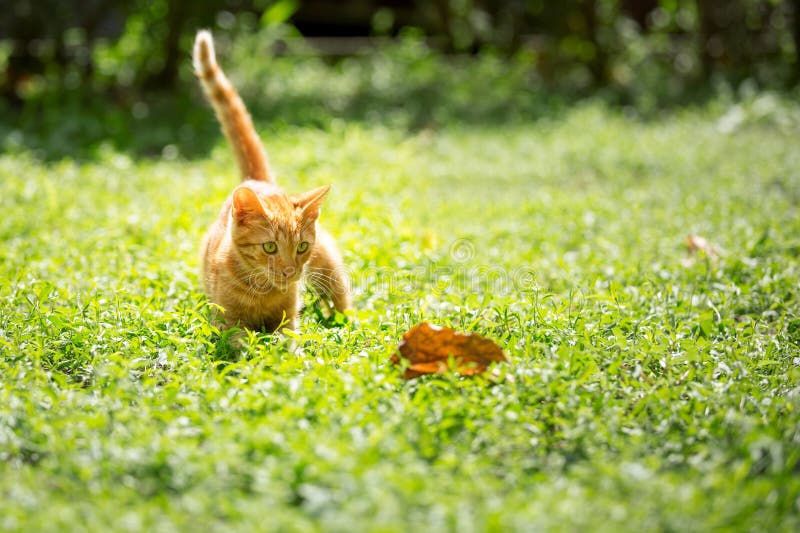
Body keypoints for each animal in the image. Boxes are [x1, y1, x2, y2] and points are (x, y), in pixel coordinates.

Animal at [192, 30, 352, 332]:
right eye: (269, 247)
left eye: (301, 247)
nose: (290, 271)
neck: (262, 291)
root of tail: (259, 181)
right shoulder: (228, 323)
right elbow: (242, 341)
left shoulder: (289, 322)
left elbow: (287, 340)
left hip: (329, 268)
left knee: (342, 300)